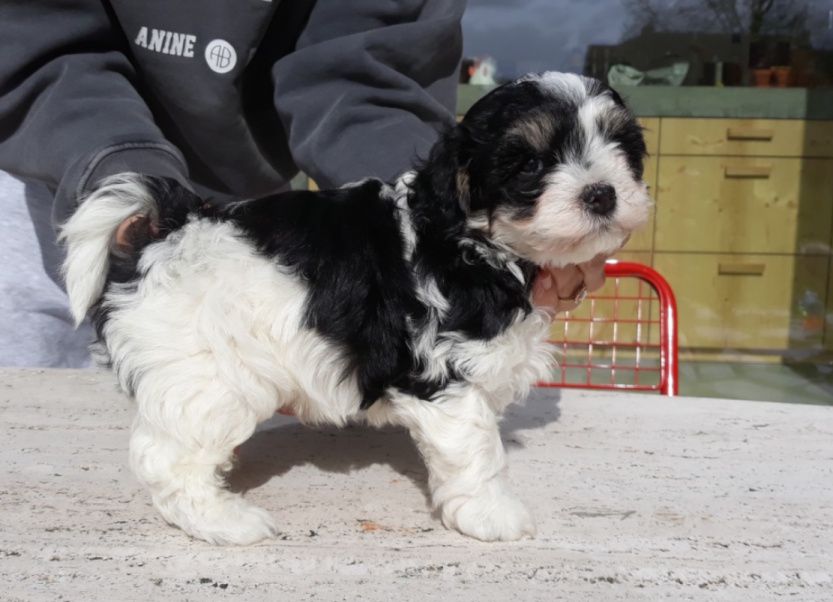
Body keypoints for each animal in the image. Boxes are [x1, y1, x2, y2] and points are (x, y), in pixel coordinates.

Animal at [60, 72, 651, 545]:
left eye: (623, 149)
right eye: (530, 162)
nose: (601, 193)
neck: (475, 241)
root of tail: (168, 229)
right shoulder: (443, 373)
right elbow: (476, 448)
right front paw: (492, 514)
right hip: (208, 376)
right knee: (168, 457)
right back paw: (226, 522)